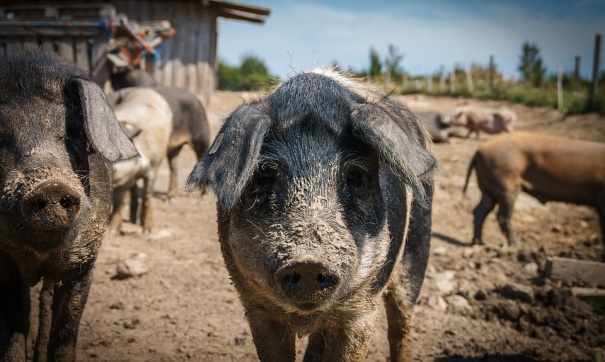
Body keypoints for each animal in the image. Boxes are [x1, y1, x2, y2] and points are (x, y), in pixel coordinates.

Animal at [0, 51, 137, 362]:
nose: (50, 185)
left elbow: (65, 334)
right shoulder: (4, 265)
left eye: (72, 131)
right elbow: (11, 336)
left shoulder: (84, 261)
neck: (39, 255)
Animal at [188, 69, 434, 360]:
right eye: (264, 174)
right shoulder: (257, 307)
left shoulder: (362, 310)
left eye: (354, 175)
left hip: (416, 252)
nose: (308, 261)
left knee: (401, 323)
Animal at [462, 131, 604, 255]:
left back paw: (479, 243)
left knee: (480, 210)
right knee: (502, 215)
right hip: (505, 184)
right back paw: (516, 245)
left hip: (487, 188)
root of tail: (479, 150)